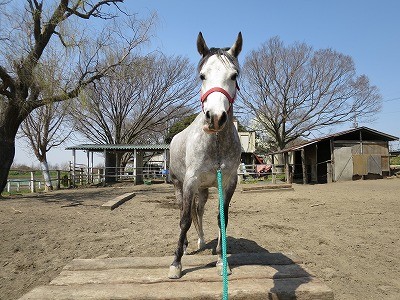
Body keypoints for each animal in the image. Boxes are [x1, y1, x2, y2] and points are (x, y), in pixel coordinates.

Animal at [167, 31, 242, 278]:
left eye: (234, 75)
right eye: (202, 76)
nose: (216, 118)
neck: (215, 144)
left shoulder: (228, 182)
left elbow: (222, 219)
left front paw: (222, 260)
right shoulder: (189, 182)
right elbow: (184, 220)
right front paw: (176, 263)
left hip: (203, 190)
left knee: (198, 211)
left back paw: (202, 241)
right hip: (180, 186)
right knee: (186, 212)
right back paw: (188, 245)